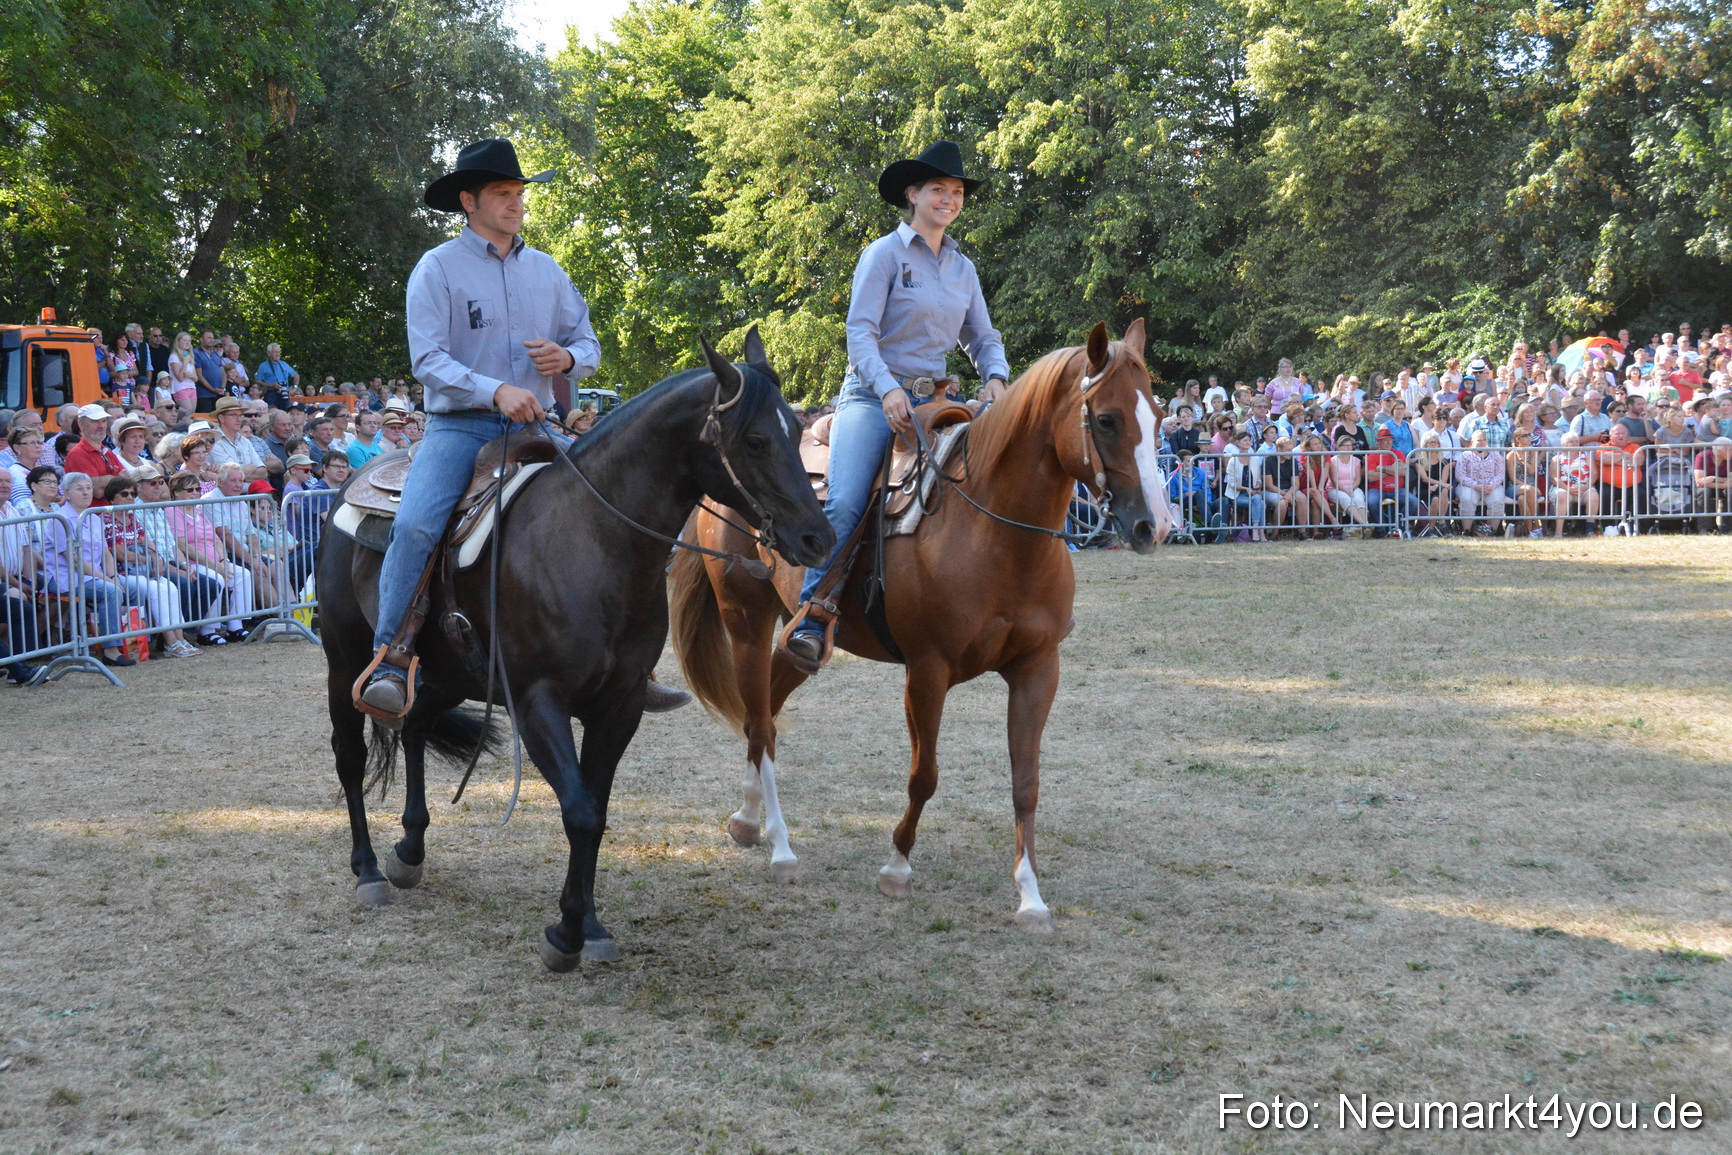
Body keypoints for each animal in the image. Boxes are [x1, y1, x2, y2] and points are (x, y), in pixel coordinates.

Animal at [318, 331, 832, 971]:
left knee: (413, 728)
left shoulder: (620, 704)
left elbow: (597, 809)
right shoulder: (539, 703)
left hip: (449, 673)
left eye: (793, 428)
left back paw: (409, 849)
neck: (593, 544)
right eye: (757, 439)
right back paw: (367, 869)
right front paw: (565, 934)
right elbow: (580, 812)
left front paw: (588, 923)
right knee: (350, 754)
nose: (819, 537)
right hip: (345, 660)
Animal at [669, 319, 1173, 930]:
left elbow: (1026, 783)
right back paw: (778, 846)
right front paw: (896, 867)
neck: (995, 532)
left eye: (1158, 414)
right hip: (744, 617)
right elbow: (924, 773)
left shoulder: (1037, 670)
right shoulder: (927, 673)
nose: (1155, 525)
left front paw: (1030, 897)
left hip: (797, 641)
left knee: (762, 708)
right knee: (760, 722)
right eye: (1106, 419)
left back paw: (749, 821)